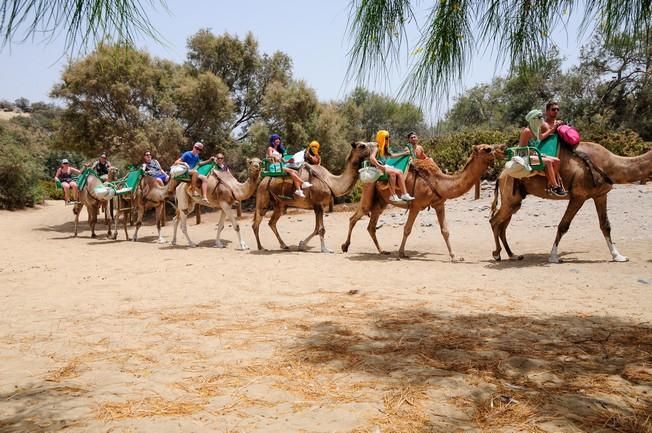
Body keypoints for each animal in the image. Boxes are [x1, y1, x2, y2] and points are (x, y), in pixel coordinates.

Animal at [342, 143, 500, 258]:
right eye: (487, 149)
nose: (500, 151)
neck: (438, 182)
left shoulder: (439, 204)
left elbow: (445, 230)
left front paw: (454, 256)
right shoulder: (416, 205)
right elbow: (407, 229)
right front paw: (401, 253)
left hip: (381, 201)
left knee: (371, 226)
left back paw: (382, 251)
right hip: (369, 191)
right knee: (354, 218)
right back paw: (345, 246)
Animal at [492, 142, 648, 264]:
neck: (609, 164)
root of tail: (501, 175)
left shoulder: (600, 195)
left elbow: (605, 225)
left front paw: (618, 256)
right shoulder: (579, 196)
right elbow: (563, 225)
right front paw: (554, 257)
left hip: (514, 202)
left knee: (502, 226)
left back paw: (512, 255)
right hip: (510, 199)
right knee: (494, 221)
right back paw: (497, 254)